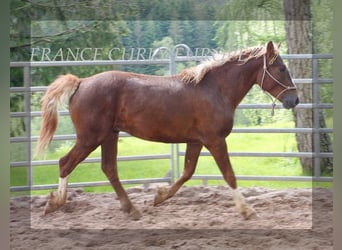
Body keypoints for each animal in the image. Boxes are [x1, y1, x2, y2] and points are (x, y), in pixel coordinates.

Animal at [37, 41, 298, 221]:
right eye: (281, 68)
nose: (294, 100)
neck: (215, 90)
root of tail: (81, 83)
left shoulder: (196, 141)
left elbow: (187, 173)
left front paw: (159, 196)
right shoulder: (215, 141)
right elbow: (229, 175)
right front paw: (247, 211)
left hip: (109, 135)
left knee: (109, 168)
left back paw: (131, 209)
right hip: (91, 137)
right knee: (65, 163)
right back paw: (55, 203)